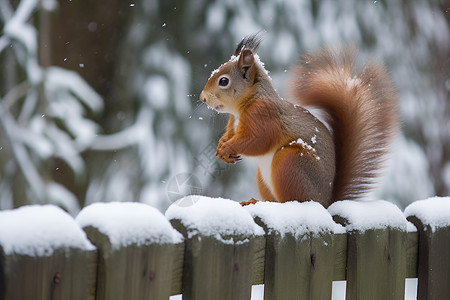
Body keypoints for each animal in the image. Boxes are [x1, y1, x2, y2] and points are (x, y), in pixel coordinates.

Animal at [200, 32, 398, 206]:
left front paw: (228, 147)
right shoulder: (233, 123)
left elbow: (257, 140)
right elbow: (231, 135)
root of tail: (326, 202)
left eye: (223, 81)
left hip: (290, 163)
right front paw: (221, 146)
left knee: (293, 200)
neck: (240, 109)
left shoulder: (264, 116)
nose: (202, 98)